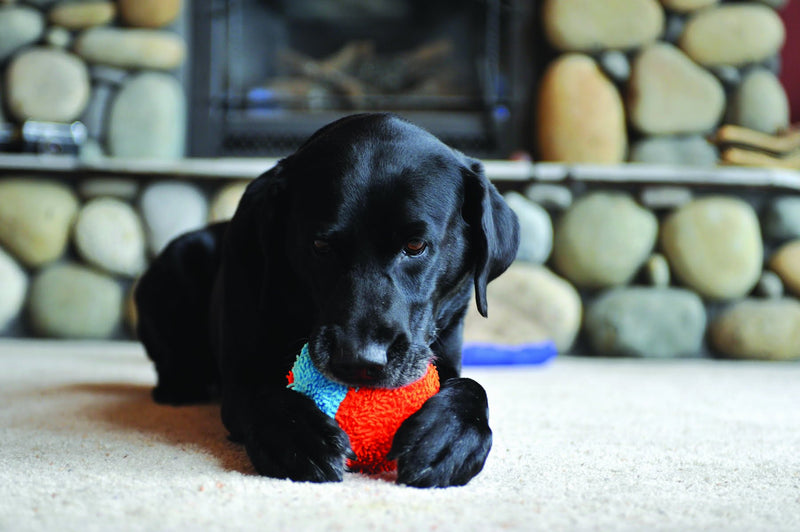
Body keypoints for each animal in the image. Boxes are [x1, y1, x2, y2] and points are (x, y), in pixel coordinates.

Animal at [134, 114, 520, 488]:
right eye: (320, 245)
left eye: (415, 245)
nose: (360, 361)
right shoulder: (241, 372)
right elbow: (262, 390)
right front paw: (300, 435)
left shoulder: (443, 357)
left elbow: (471, 386)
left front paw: (448, 437)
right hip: (177, 259)